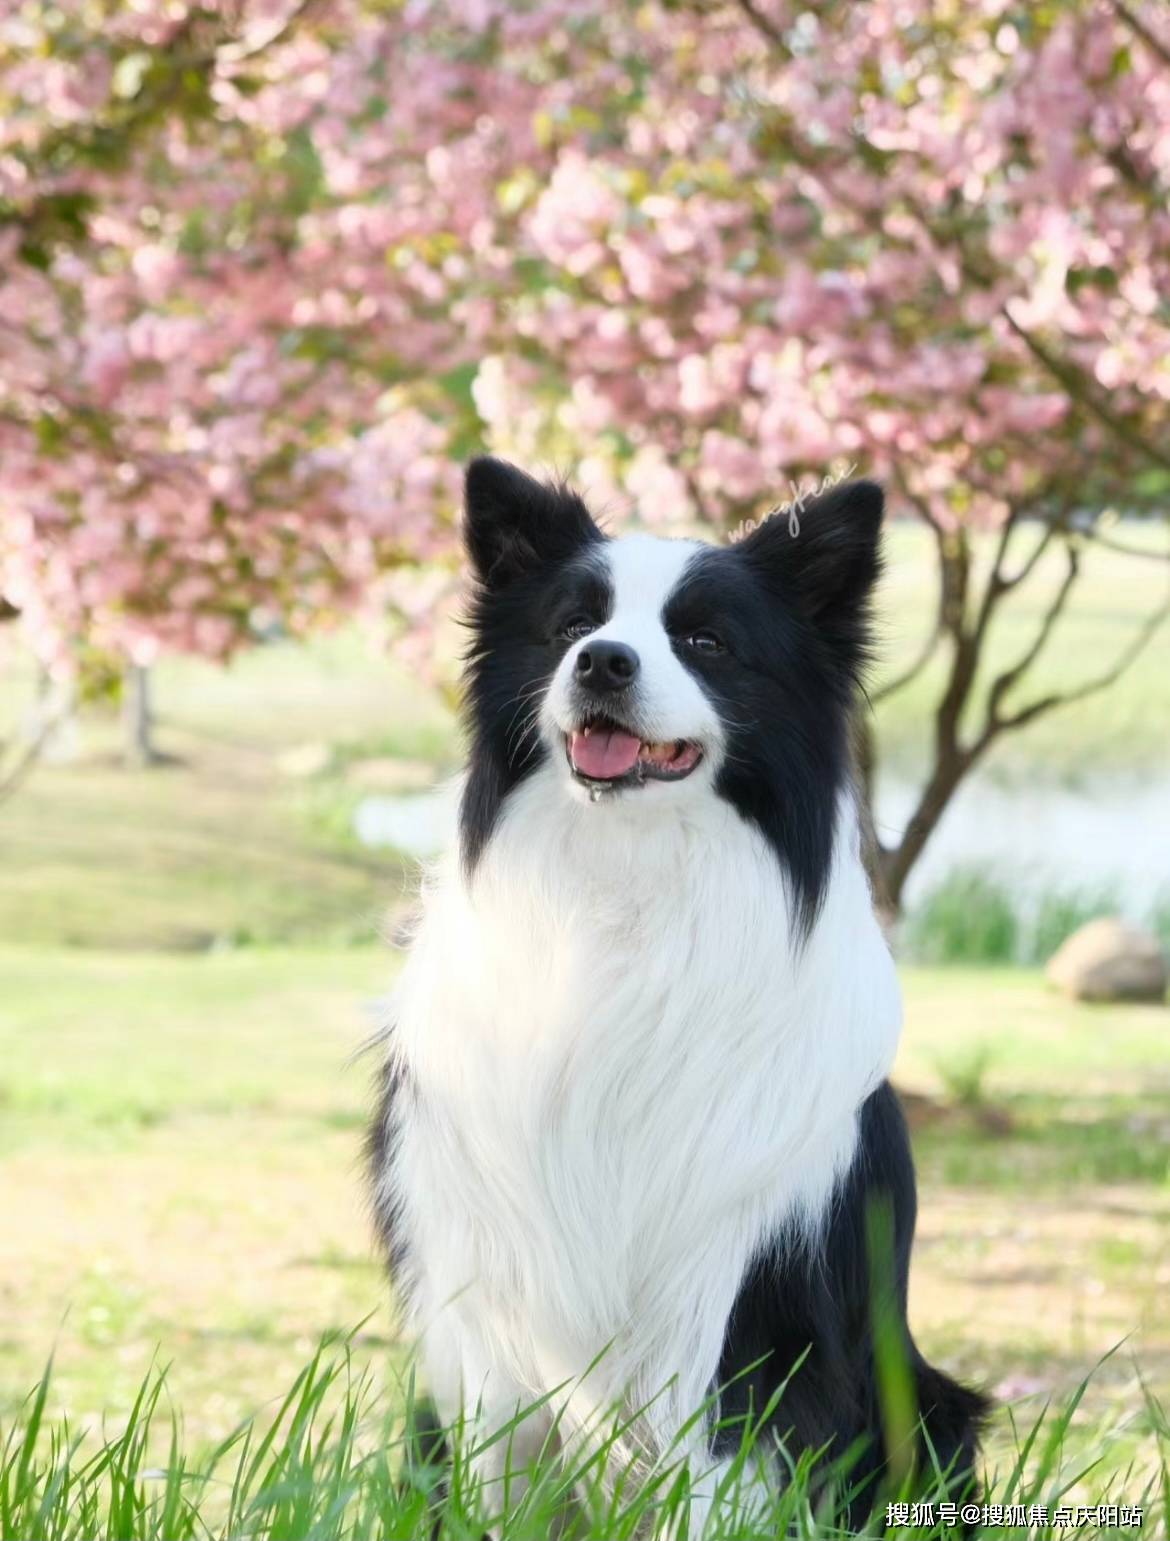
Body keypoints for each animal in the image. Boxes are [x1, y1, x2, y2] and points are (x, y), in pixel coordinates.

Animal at [368, 453, 986, 1528]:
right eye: (572, 625)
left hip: (932, 1410)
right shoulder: (492, 1308)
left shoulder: (741, 1313)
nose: (603, 663)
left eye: (705, 640)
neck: (625, 892)